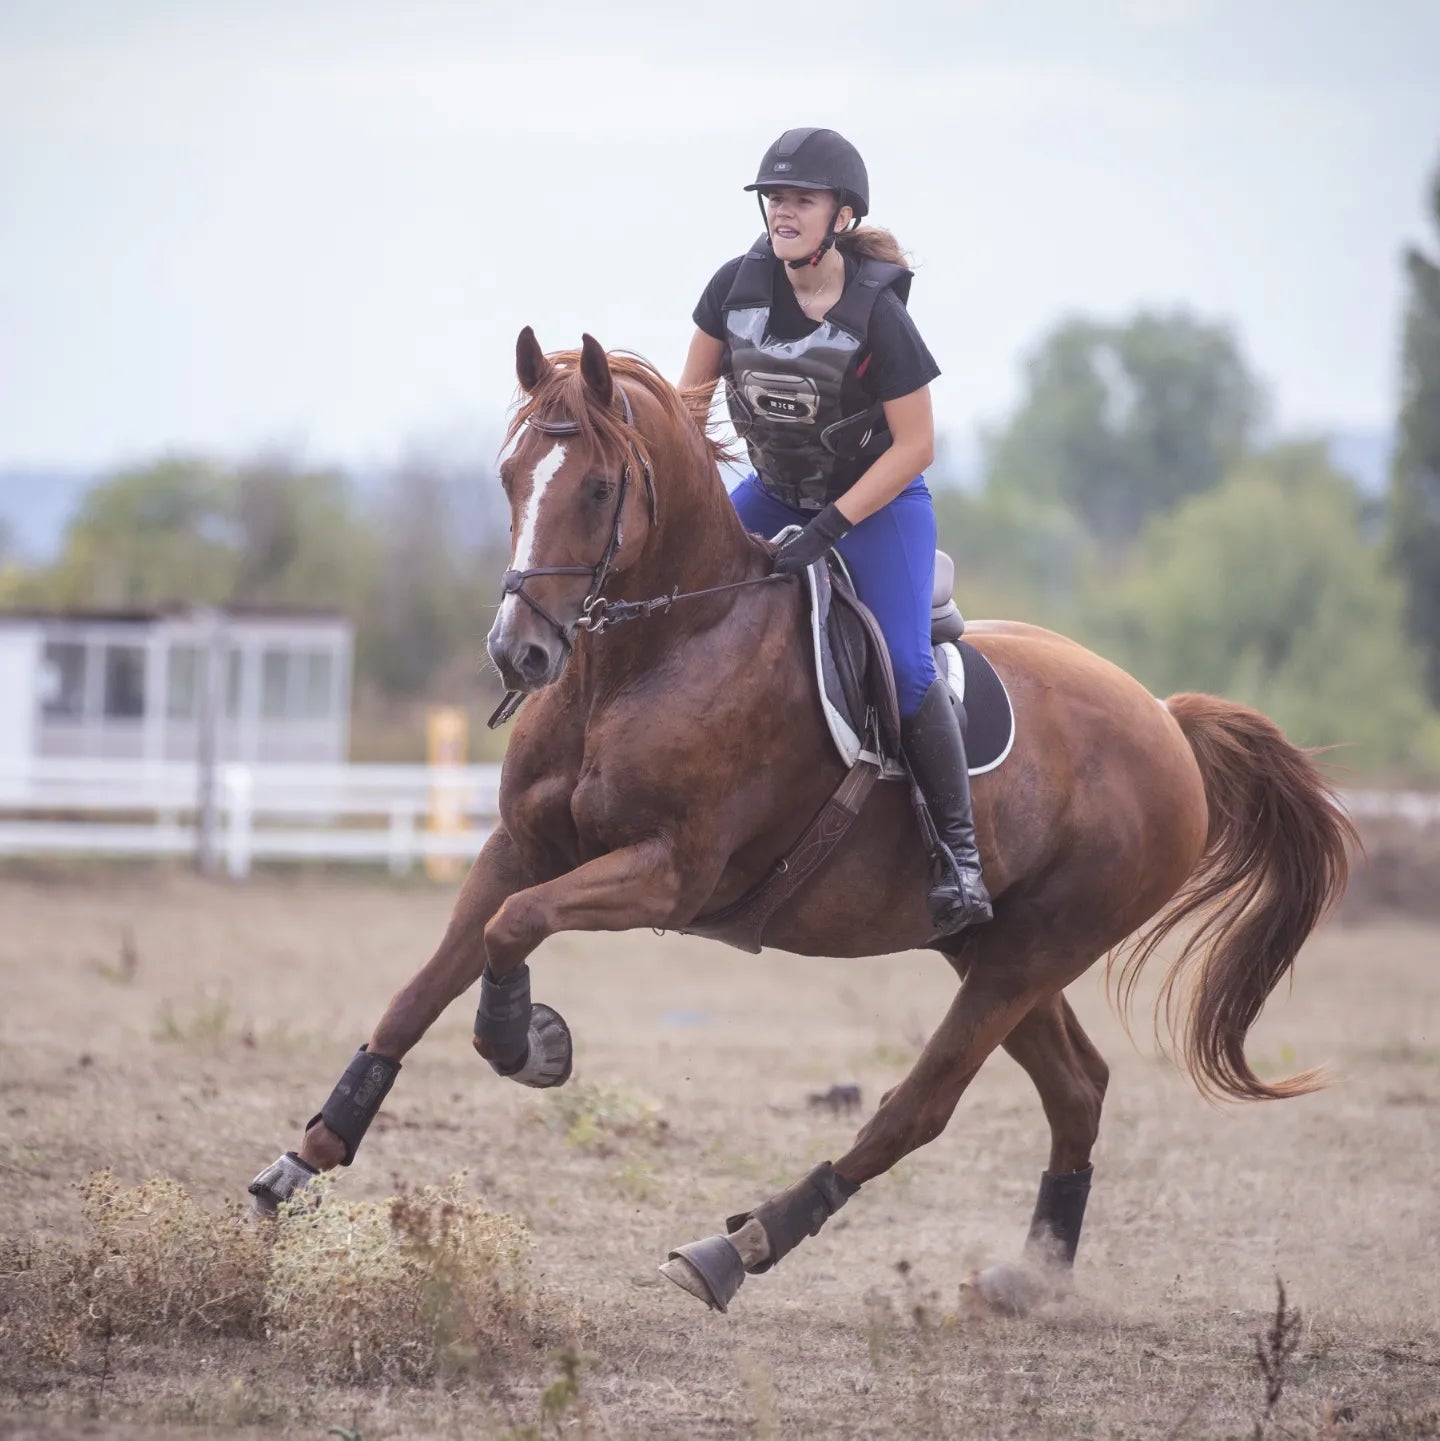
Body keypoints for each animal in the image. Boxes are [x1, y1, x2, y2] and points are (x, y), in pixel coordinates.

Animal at [250, 329, 1360, 1319]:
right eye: (510, 475)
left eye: (599, 489)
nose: (519, 652)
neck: (652, 652)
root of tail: (1166, 720)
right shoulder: (521, 846)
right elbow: (422, 985)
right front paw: (304, 1161)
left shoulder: (667, 873)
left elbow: (510, 928)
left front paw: (528, 1041)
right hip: (994, 950)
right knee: (1077, 1088)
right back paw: (1031, 1279)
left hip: (1029, 954)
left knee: (918, 1109)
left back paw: (740, 1245)